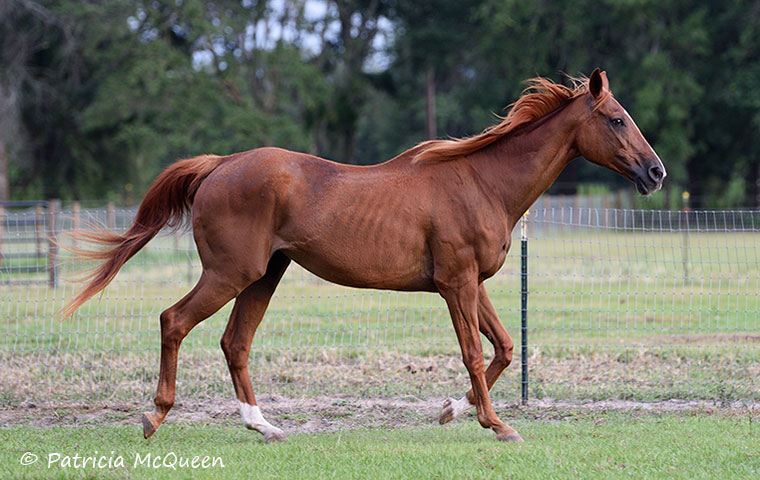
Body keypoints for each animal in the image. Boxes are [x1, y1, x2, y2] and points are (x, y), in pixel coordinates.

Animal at [63, 67, 664, 442]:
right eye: (616, 118)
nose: (656, 172)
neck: (482, 182)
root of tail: (220, 164)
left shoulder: (475, 283)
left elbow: (504, 349)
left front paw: (453, 410)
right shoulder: (455, 284)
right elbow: (474, 354)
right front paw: (498, 426)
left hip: (263, 276)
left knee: (235, 342)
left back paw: (264, 426)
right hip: (231, 273)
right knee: (174, 321)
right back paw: (154, 417)